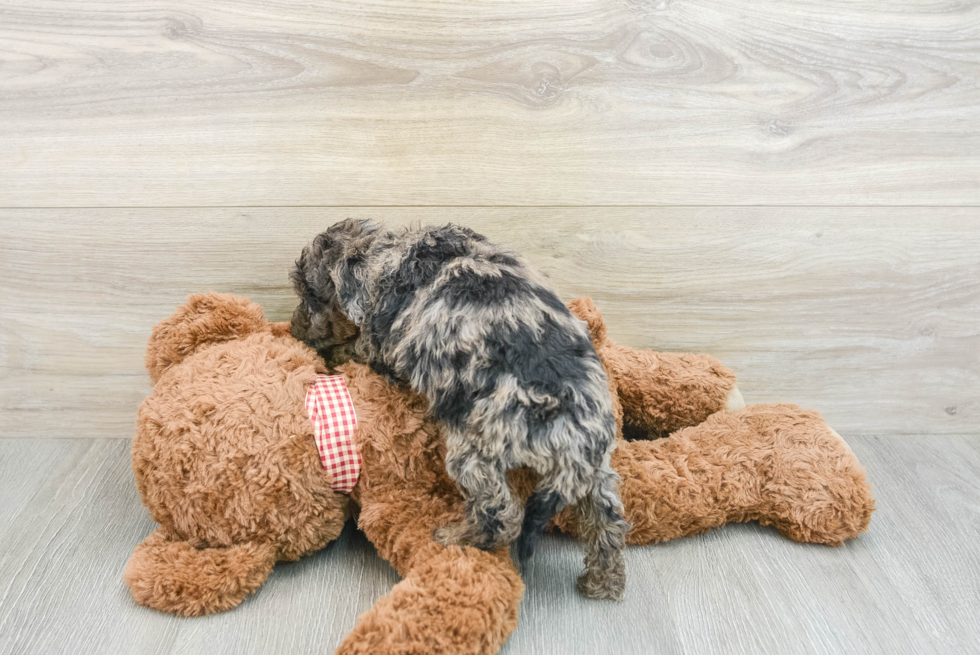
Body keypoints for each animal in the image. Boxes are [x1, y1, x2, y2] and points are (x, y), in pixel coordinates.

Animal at [288, 220, 632, 600]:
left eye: (311, 296)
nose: (292, 329)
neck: (389, 249)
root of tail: (570, 435)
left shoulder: (380, 345)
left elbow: (355, 348)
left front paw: (330, 356)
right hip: (598, 473)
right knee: (607, 522)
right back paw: (604, 582)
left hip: (474, 448)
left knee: (501, 514)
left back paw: (454, 537)